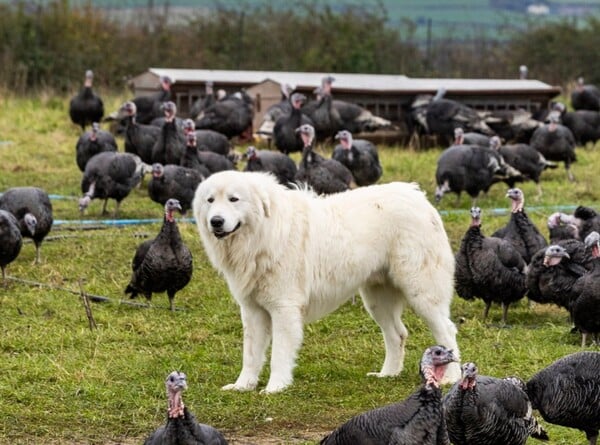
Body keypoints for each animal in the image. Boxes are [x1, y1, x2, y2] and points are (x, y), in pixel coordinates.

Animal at [192, 170, 460, 392]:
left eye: (234, 199)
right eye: (210, 200)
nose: (216, 221)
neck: (263, 234)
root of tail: (418, 196)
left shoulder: (283, 308)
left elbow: (279, 353)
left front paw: (275, 387)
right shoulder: (252, 310)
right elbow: (250, 354)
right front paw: (243, 386)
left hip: (421, 292)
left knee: (446, 331)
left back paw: (452, 377)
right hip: (377, 299)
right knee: (397, 334)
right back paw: (388, 374)